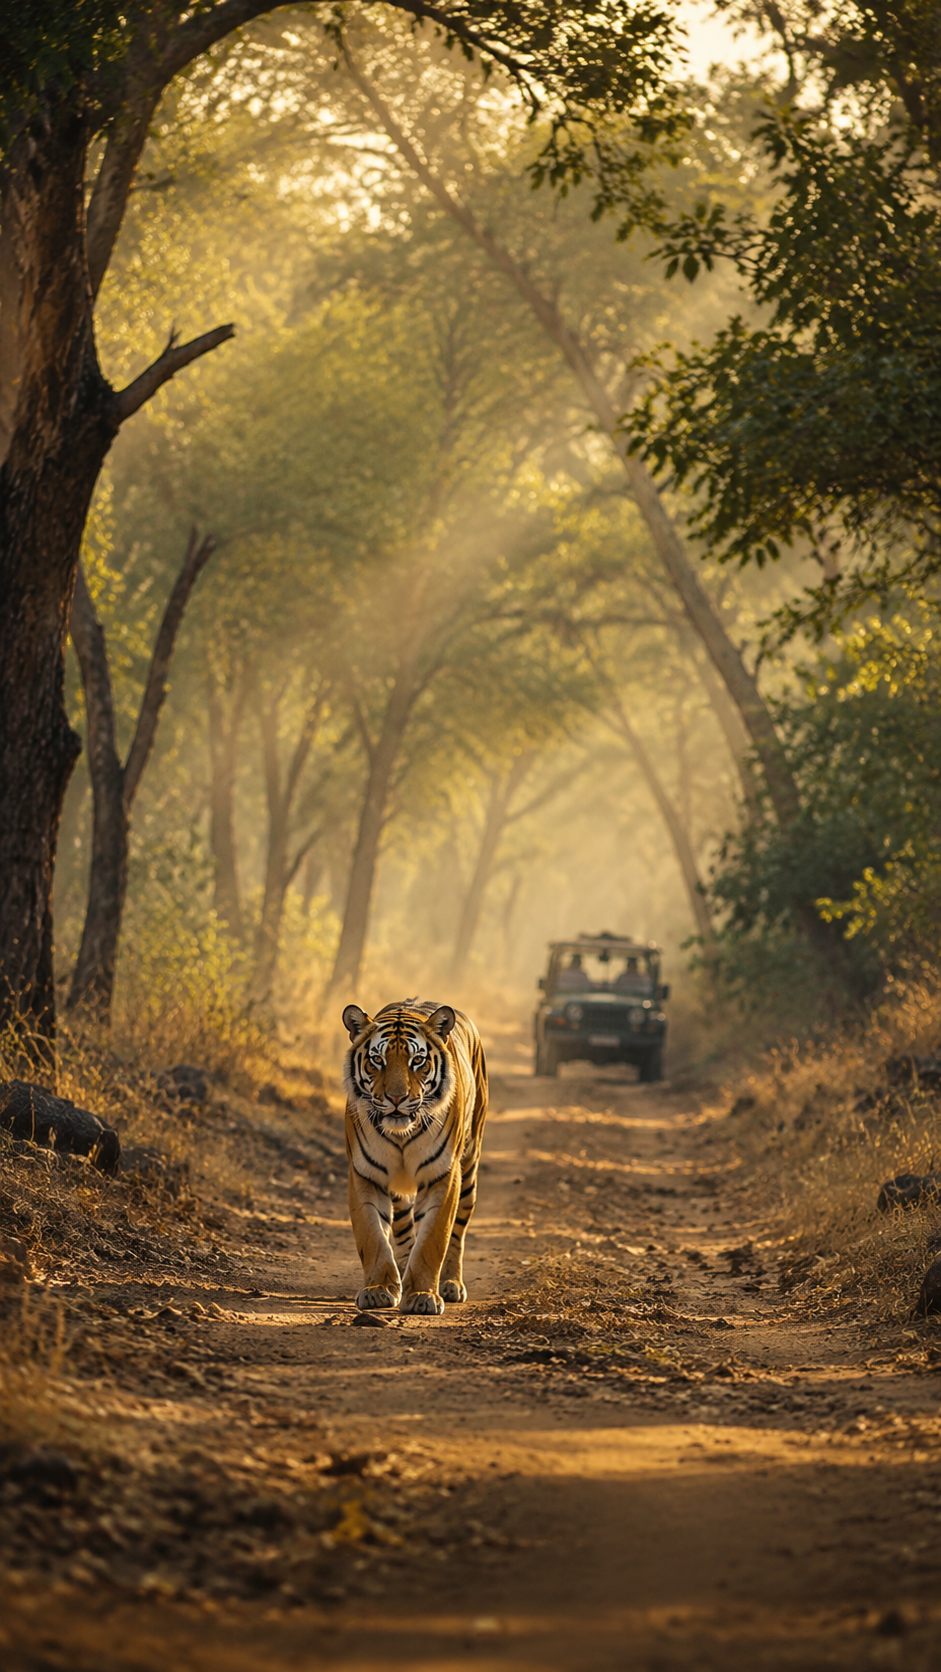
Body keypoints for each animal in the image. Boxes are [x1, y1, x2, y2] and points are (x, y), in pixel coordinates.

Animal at [341, 998, 488, 1316]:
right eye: (377, 1060)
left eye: (417, 1061)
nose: (396, 1098)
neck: (401, 1136)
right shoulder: (364, 1174)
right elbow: (372, 1235)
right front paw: (378, 1291)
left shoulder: (443, 1176)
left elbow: (434, 1239)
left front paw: (422, 1295)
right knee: (403, 1229)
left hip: (469, 1170)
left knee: (457, 1233)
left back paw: (451, 1284)